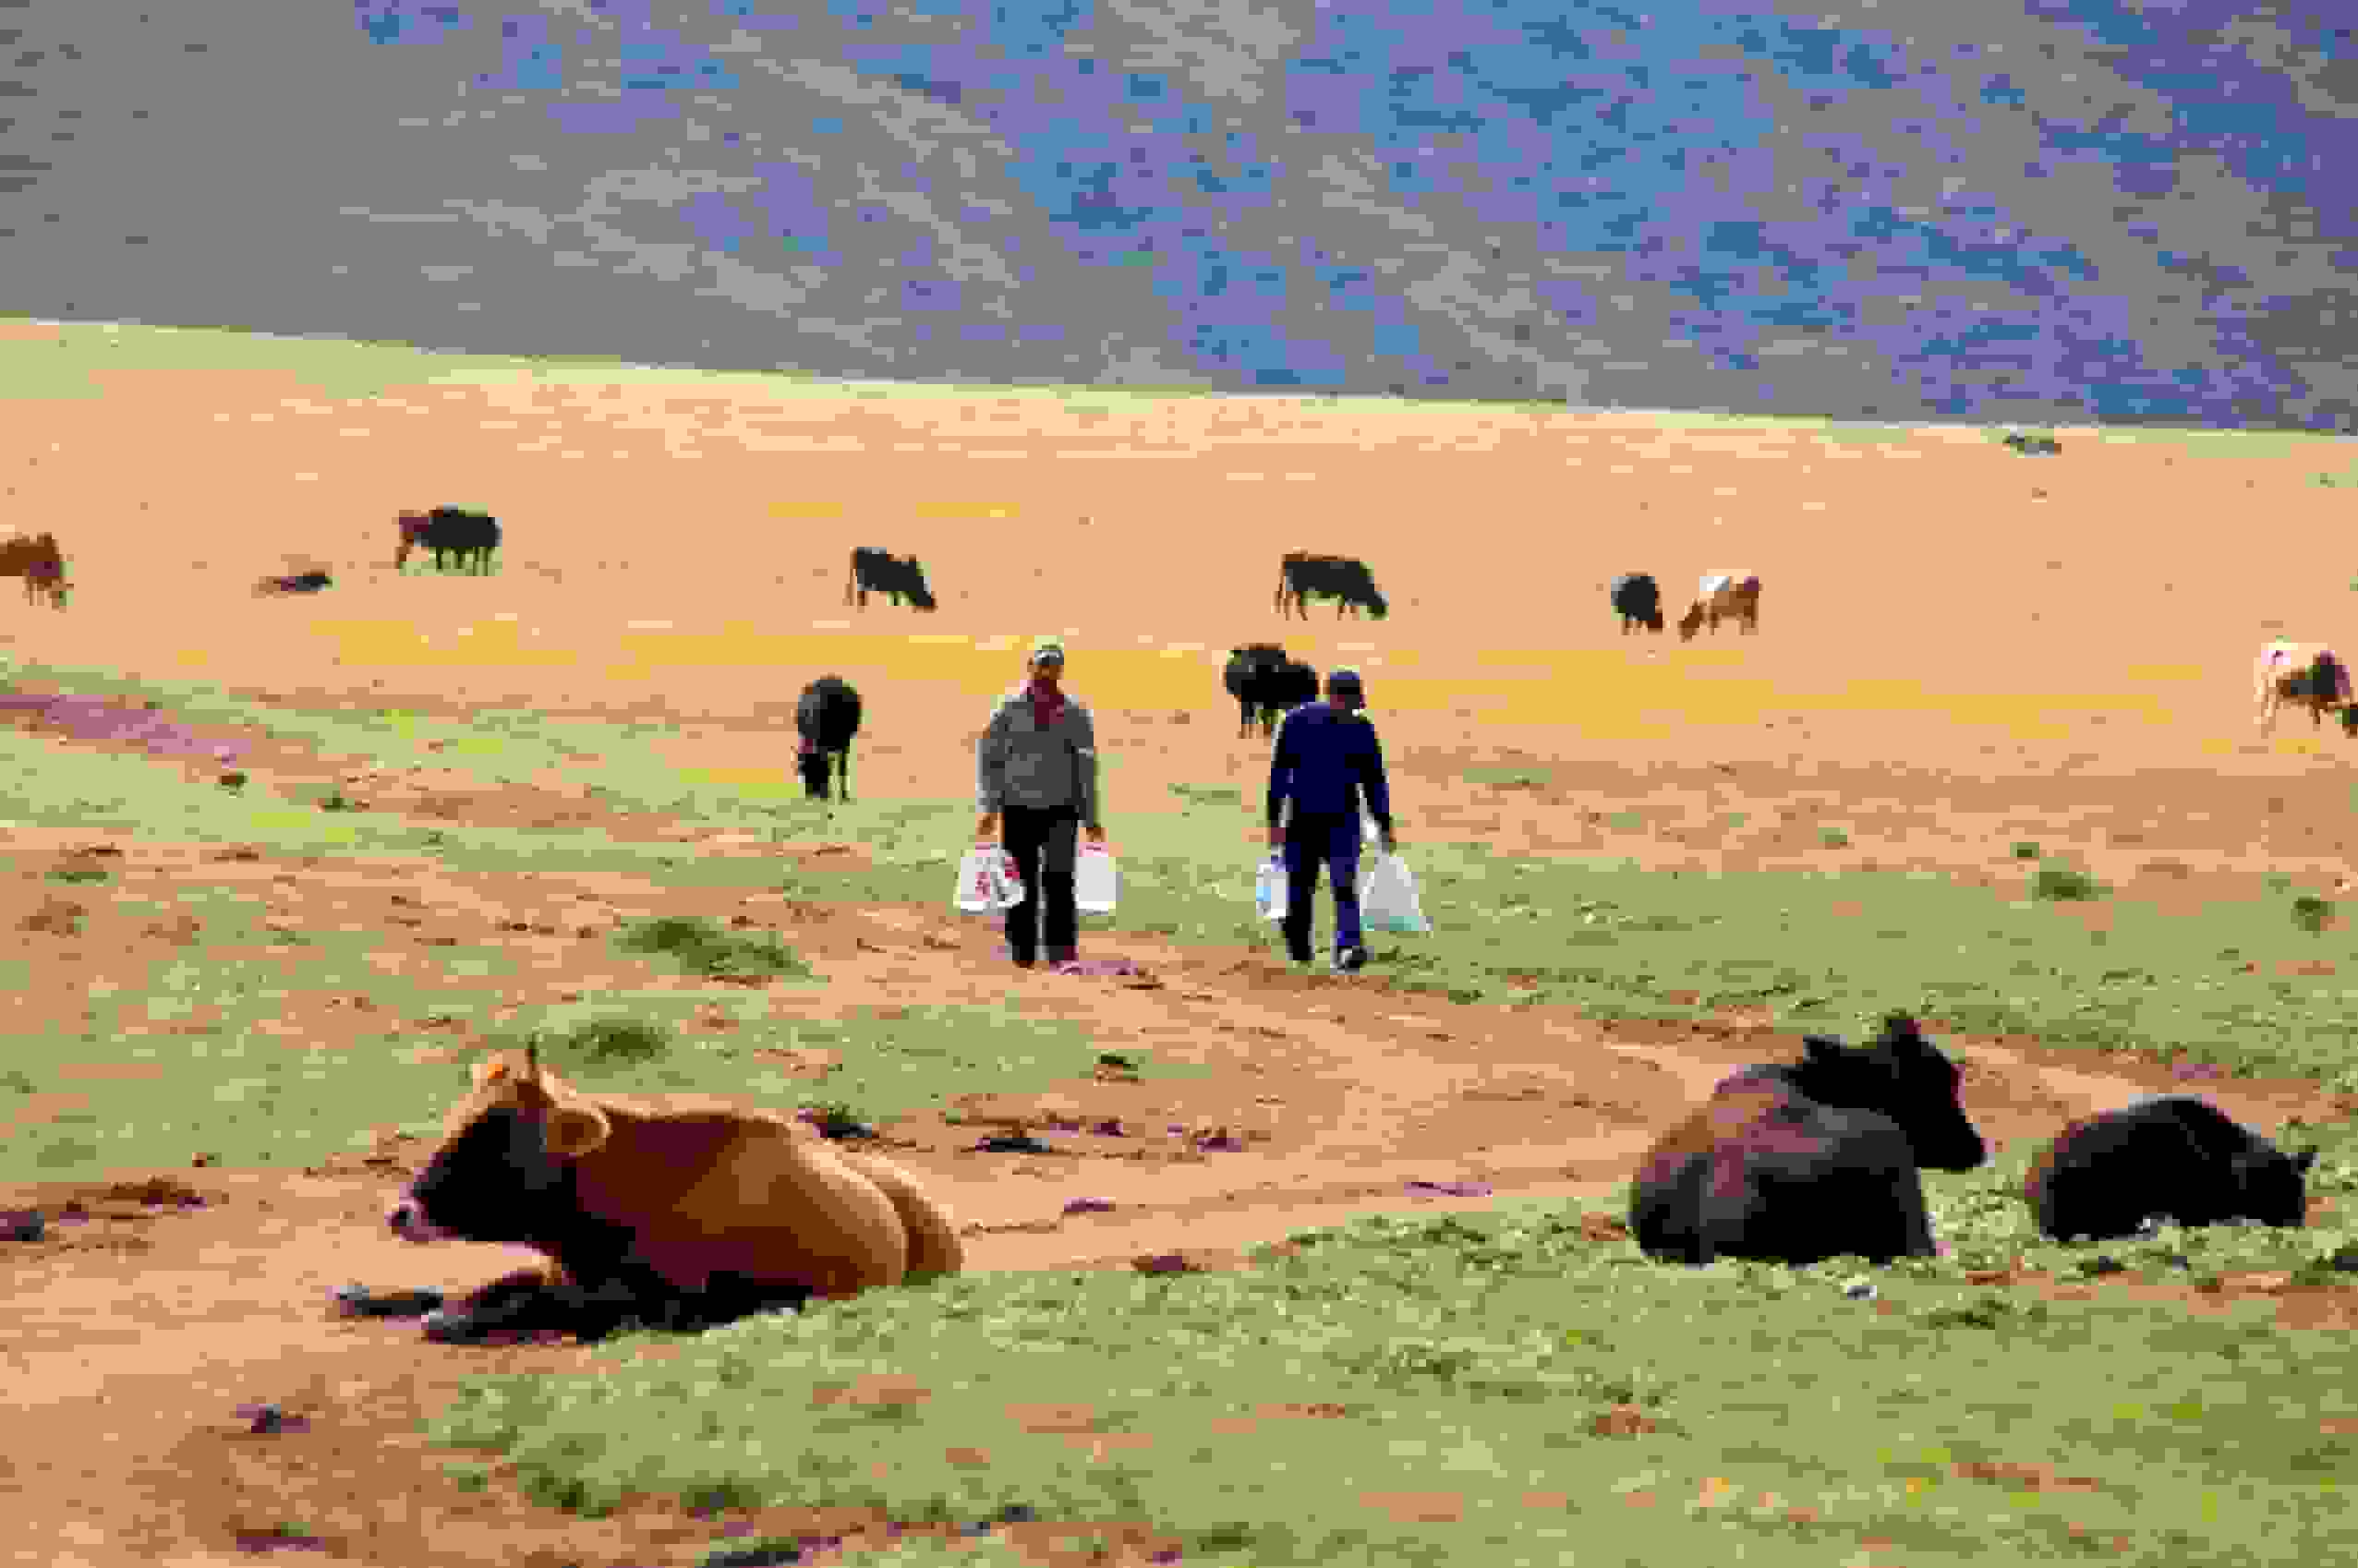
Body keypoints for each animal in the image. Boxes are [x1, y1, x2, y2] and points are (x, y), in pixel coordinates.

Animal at [796, 669, 863, 802]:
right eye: (805, 771)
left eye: (821, 772)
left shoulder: (844, 742)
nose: (811, 794)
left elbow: (842, 769)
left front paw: (843, 796)